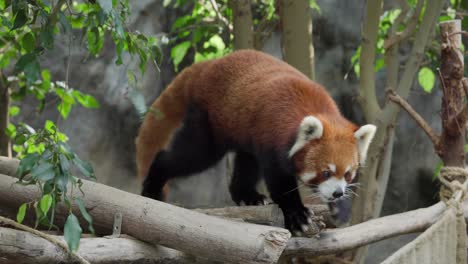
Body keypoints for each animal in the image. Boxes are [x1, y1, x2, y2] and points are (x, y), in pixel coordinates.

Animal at [135, 50, 376, 233]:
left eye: (348, 174)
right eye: (325, 172)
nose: (337, 193)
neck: (316, 110)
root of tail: (210, 65)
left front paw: (341, 208)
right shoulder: (274, 140)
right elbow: (279, 182)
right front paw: (297, 215)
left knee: (246, 161)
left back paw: (248, 196)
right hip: (208, 120)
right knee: (192, 155)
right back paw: (153, 187)